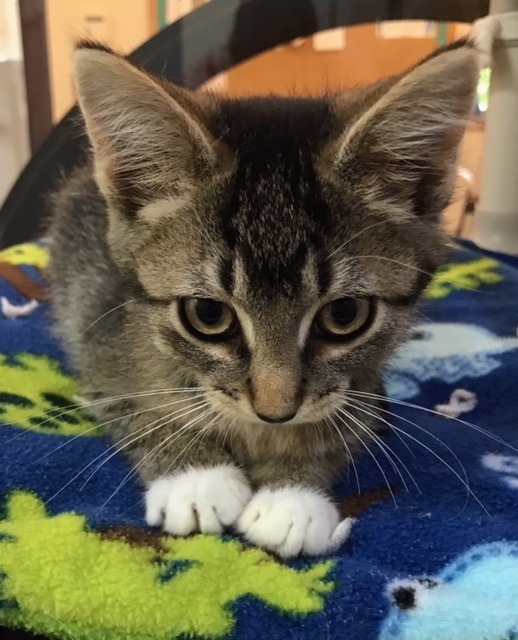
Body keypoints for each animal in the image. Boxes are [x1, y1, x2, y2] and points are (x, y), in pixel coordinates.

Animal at [49, 31, 488, 560]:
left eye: (345, 314)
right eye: (207, 314)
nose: (276, 413)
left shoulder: (365, 379)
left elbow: (351, 411)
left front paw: (294, 494)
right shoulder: (97, 327)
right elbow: (131, 399)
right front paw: (195, 478)